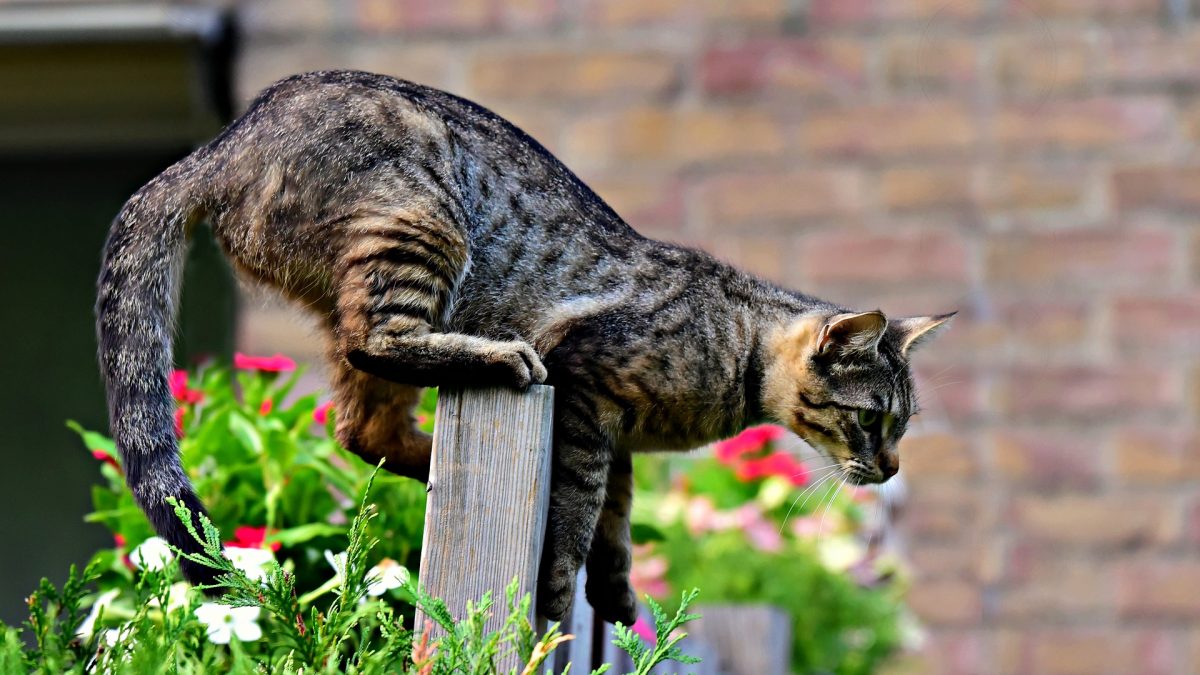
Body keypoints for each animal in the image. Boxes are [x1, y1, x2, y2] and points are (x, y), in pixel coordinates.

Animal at [93, 70, 950, 624]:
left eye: (901, 427)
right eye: (871, 421)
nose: (890, 467)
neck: (735, 349)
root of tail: (218, 146)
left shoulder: (616, 437)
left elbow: (616, 521)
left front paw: (617, 593)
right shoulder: (587, 394)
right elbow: (576, 516)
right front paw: (560, 591)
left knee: (362, 427)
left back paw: (433, 461)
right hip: (418, 224)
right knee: (380, 345)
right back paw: (498, 360)